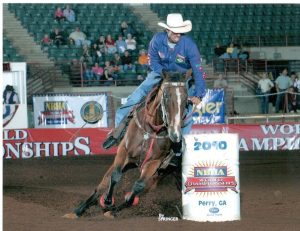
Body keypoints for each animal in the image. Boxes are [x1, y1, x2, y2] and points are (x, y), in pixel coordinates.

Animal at [64, 71, 189, 218]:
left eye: (186, 98)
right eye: (166, 95)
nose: (175, 133)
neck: (151, 130)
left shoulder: (154, 162)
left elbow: (138, 186)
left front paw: (116, 206)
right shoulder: (124, 151)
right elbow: (115, 176)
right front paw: (107, 200)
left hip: (165, 173)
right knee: (103, 183)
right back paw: (78, 211)